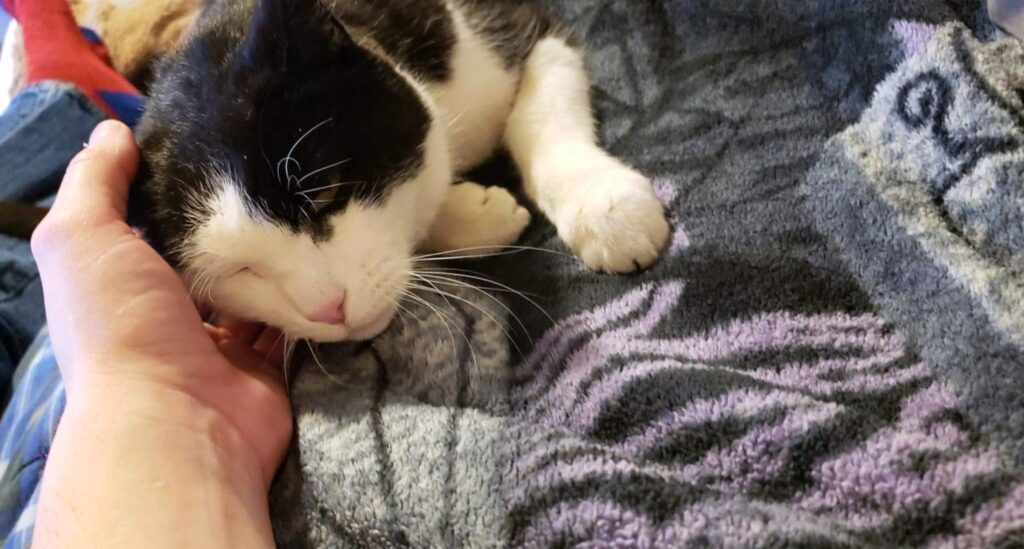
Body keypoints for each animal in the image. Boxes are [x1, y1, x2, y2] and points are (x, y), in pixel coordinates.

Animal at [130, 0, 671, 344]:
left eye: (323, 191)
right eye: (238, 270)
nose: (328, 309)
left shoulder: (518, 30)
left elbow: (539, 111)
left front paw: (604, 208)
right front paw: (476, 216)